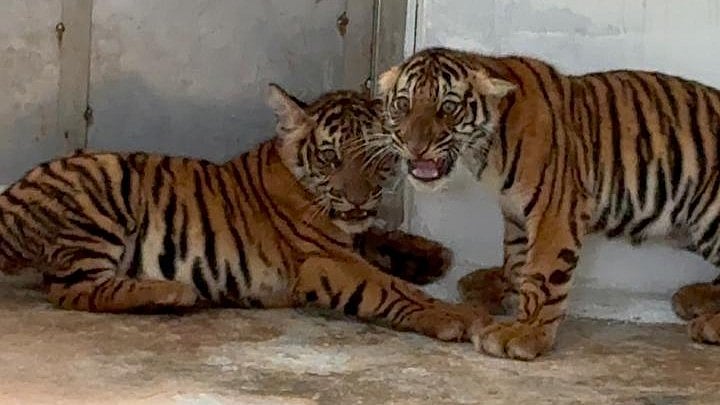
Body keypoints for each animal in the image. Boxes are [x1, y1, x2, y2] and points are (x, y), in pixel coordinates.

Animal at [0, 84, 489, 341]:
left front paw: (431, 256)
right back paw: (170, 293)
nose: (358, 200)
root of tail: (11, 197)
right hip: (101, 188)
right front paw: (459, 317)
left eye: (378, 161)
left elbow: (379, 239)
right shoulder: (323, 262)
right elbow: (391, 287)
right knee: (72, 290)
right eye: (330, 157)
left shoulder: (349, 237)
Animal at [374, 45, 720, 359]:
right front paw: (508, 295)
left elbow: (543, 272)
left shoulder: (555, 209)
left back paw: (708, 322)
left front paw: (524, 333)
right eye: (403, 104)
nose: (415, 147)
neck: (485, 148)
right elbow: (516, 261)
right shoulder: (515, 213)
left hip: (707, 214)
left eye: (448, 106)